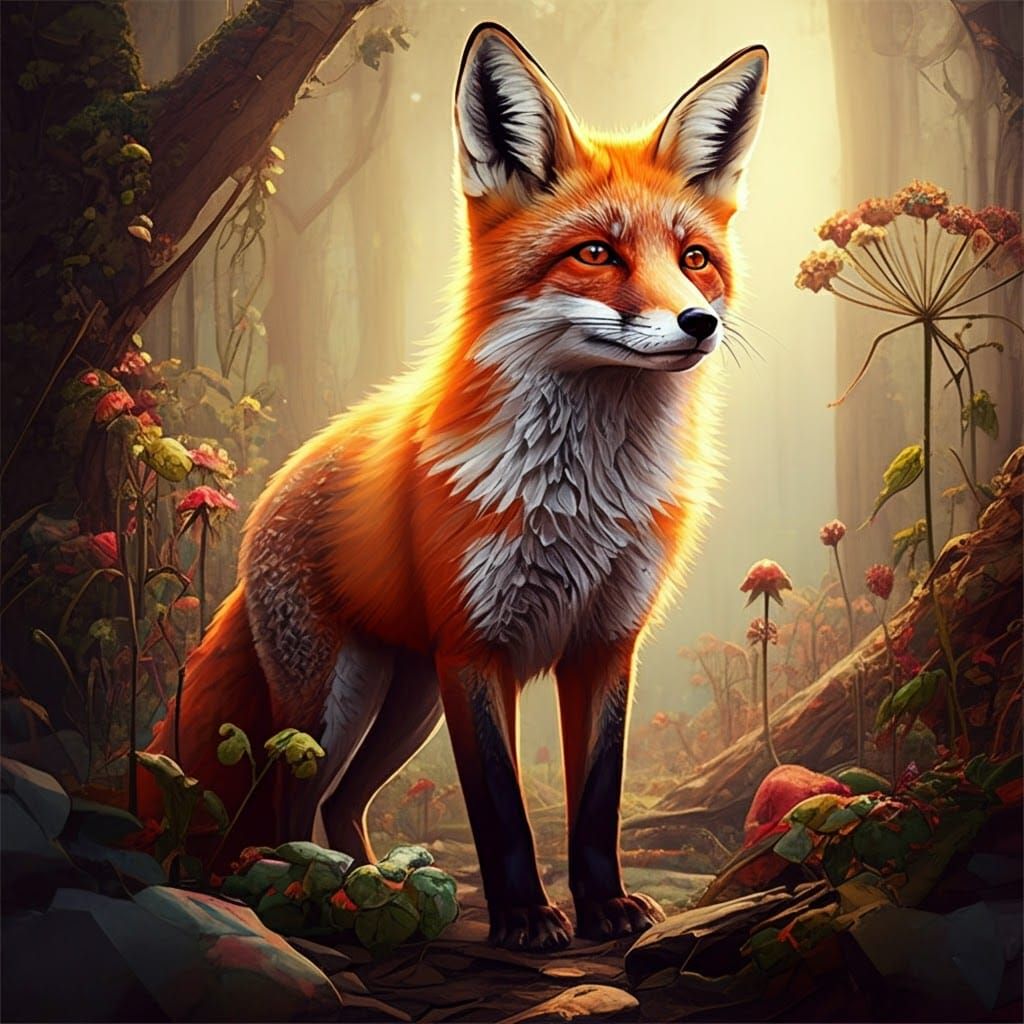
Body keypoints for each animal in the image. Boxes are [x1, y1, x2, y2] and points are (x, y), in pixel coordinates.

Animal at [140, 23, 768, 951]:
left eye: (695, 260)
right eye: (595, 252)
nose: (700, 322)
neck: (580, 500)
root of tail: (276, 483)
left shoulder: (605, 644)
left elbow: (597, 801)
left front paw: (605, 907)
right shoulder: (475, 651)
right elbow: (501, 810)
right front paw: (526, 919)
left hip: (406, 704)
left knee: (345, 802)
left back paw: (368, 886)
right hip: (335, 704)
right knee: (292, 798)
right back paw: (307, 898)